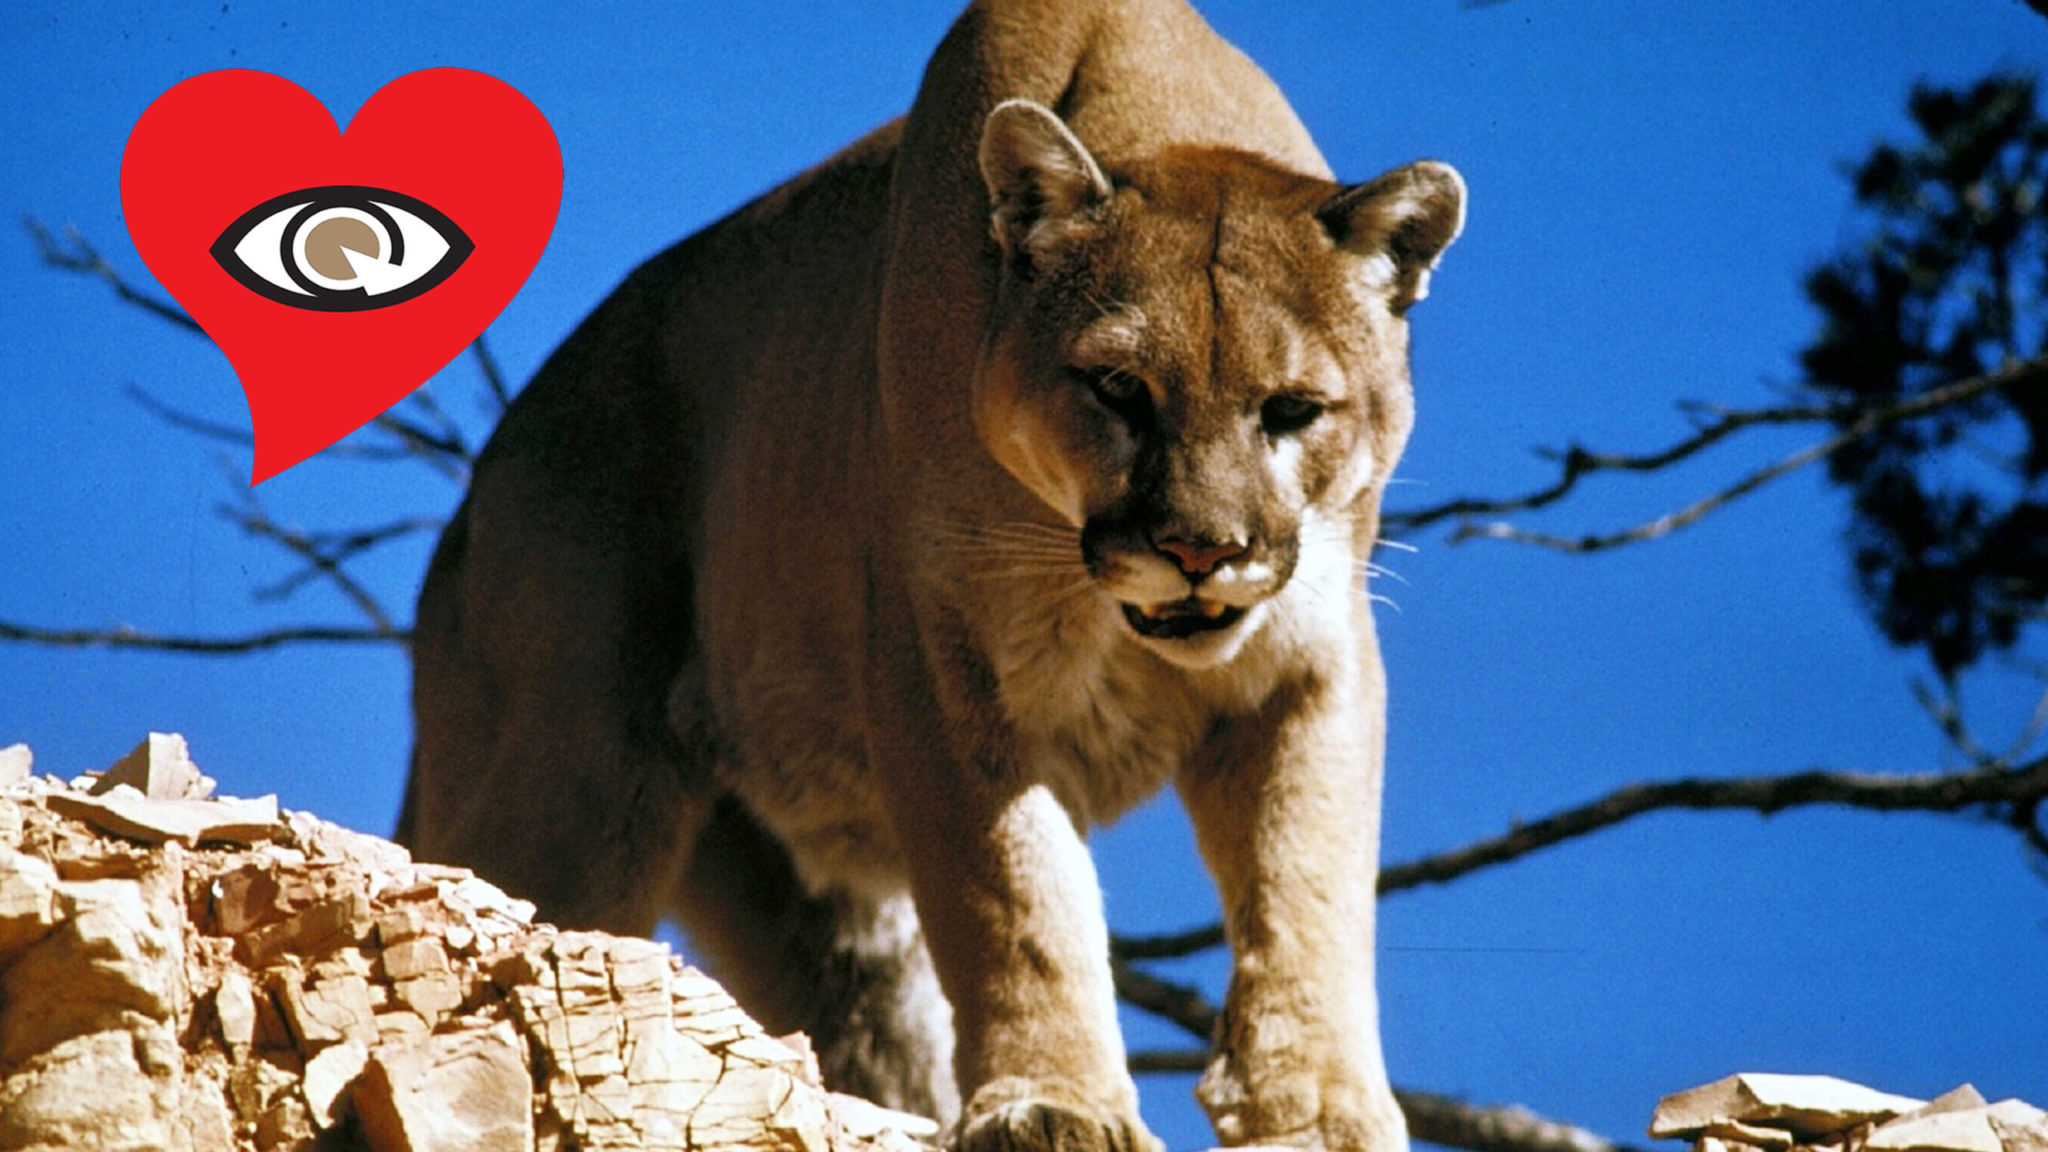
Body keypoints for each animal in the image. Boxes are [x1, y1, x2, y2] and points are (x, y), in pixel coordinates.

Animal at [401, 2, 1464, 1150]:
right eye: (1117, 387)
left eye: (1293, 409)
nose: (1200, 550)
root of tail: (476, 496)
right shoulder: (943, 664)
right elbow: (1015, 896)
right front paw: (1053, 1102)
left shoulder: (1311, 662)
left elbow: (1307, 886)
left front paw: (1316, 1107)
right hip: (575, 785)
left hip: (814, 911)